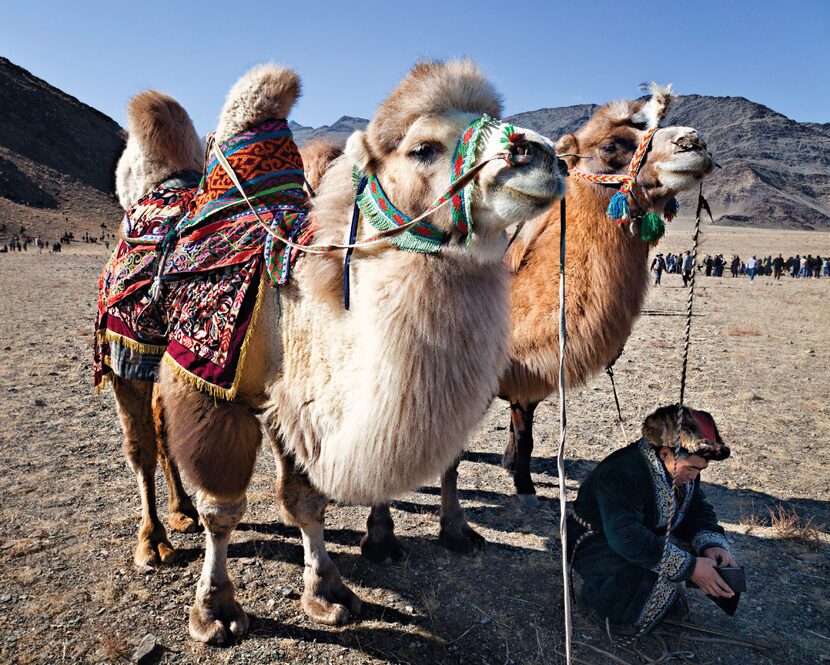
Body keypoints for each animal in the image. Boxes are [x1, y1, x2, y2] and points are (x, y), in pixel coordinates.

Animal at [152, 59, 564, 640]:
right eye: (423, 148)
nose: (543, 155)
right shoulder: (209, 391)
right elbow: (222, 510)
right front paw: (215, 612)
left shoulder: (294, 401)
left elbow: (306, 499)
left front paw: (327, 591)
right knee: (144, 439)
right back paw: (159, 536)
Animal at [360, 84, 720, 560]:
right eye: (612, 145)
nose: (693, 142)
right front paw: (387, 540)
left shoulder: (525, 377)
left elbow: (521, 430)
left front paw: (519, 484)